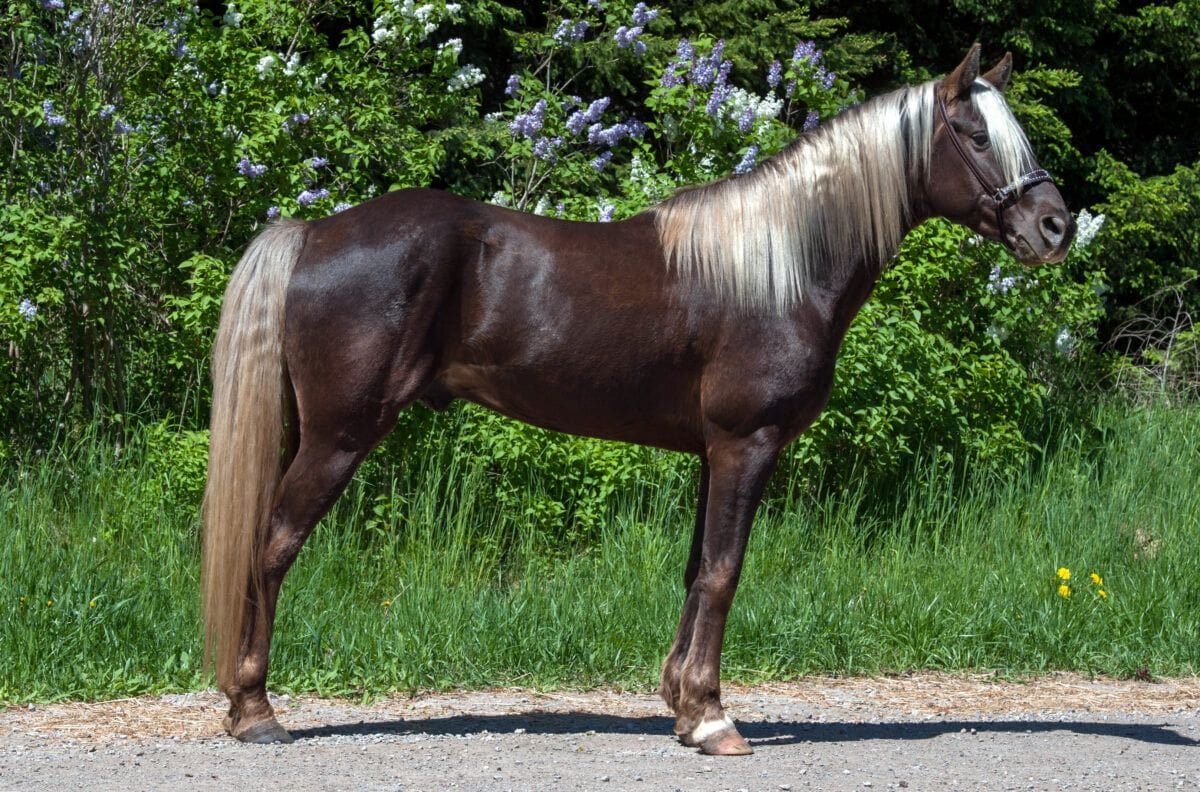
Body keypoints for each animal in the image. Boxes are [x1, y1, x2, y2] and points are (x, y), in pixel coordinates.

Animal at [201, 44, 1074, 755]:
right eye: (975, 135)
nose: (1055, 227)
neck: (780, 266)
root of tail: (314, 232)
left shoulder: (710, 454)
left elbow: (696, 571)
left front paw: (684, 707)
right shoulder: (746, 444)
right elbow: (724, 571)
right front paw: (715, 720)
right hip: (339, 437)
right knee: (273, 546)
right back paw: (256, 712)